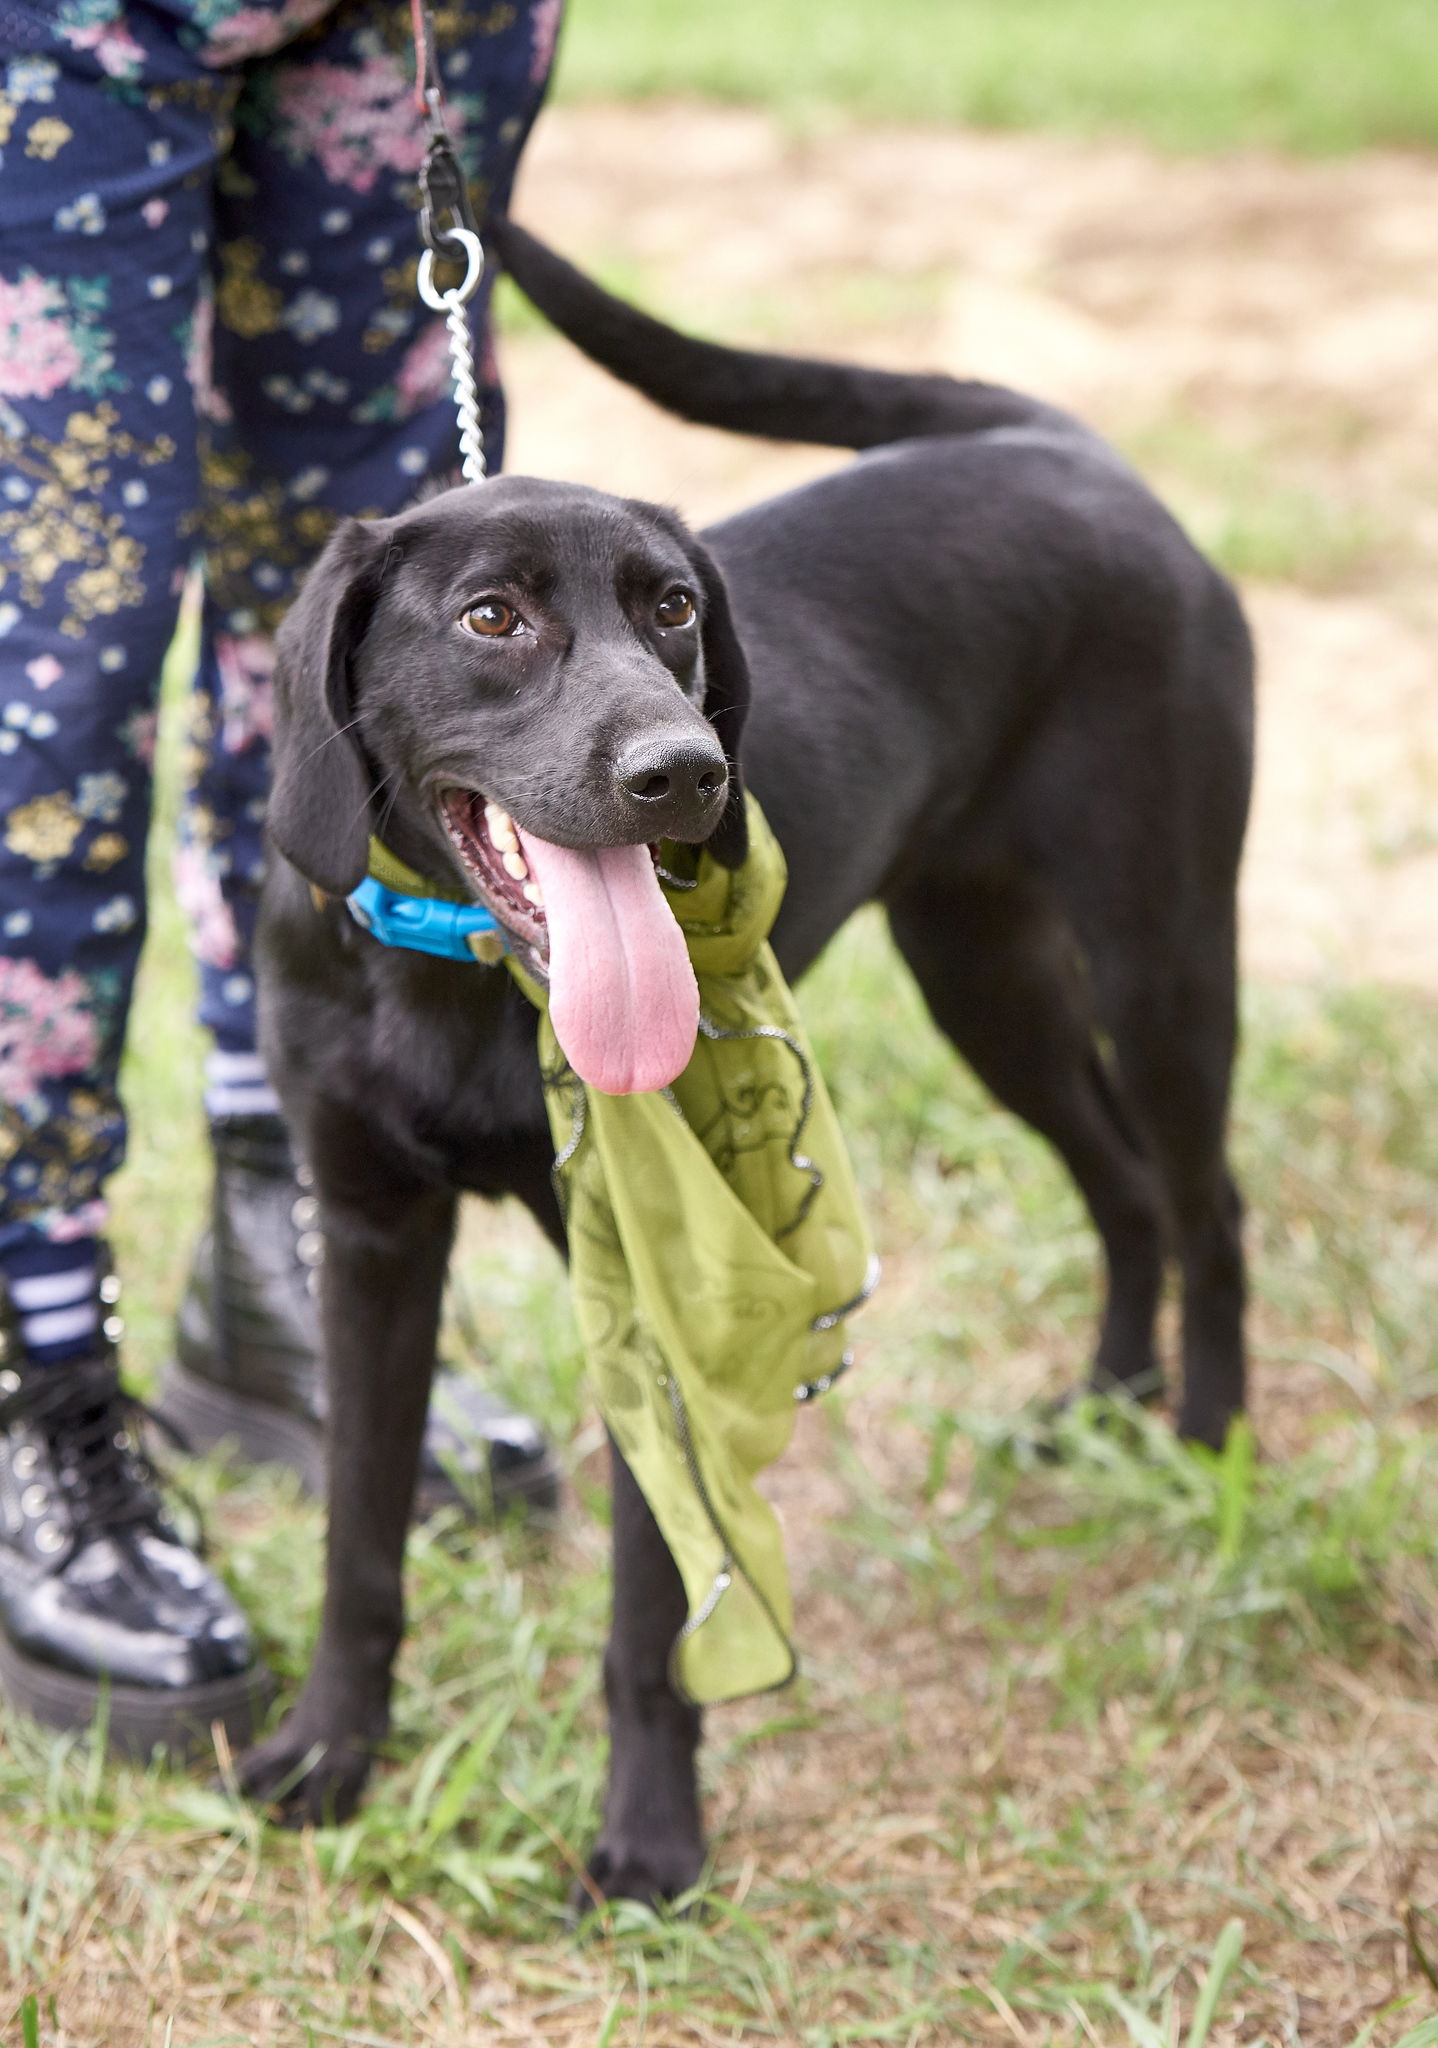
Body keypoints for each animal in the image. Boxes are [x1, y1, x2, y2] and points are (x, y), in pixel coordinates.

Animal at [233, 224, 1253, 1900]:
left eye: (671, 613)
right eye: (491, 618)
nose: (684, 773)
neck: (460, 978)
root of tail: (1065, 449)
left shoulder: (663, 1281)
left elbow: (658, 1613)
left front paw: (651, 1841)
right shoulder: (370, 1232)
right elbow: (355, 1540)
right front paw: (329, 1752)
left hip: (1158, 951)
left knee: (1203, 1201)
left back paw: (1210, 1445)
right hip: (983, 975)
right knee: (1120, 1186)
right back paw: (1102, 1406)